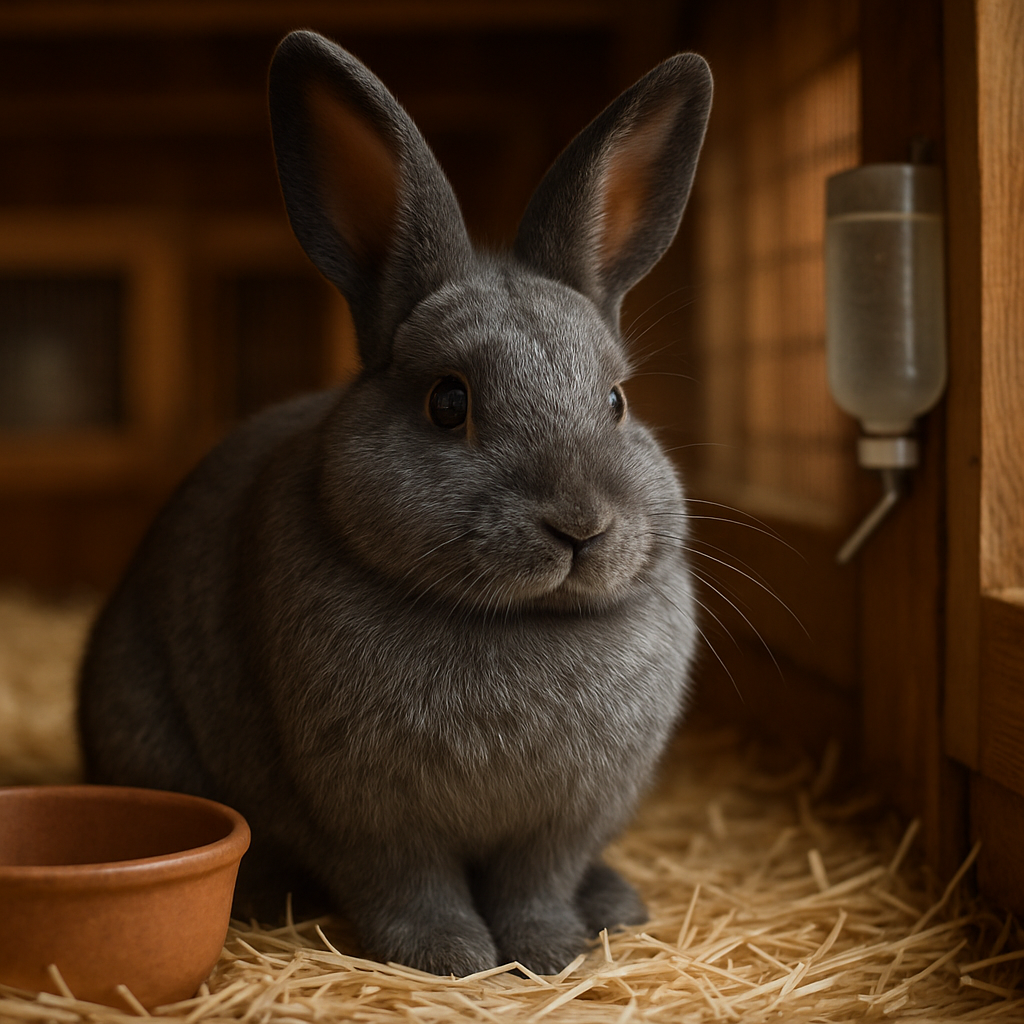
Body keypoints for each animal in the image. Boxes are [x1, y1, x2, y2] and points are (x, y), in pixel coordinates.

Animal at [78, 29, 712, 977]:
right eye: (449, 402)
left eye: (615, 402)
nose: (581, 526)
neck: (518, 622)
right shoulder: (367, 815)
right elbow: (410, 884)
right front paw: (452, 958)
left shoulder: (564, 821)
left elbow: (537, 882)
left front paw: (549, 952)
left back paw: (614, 905)